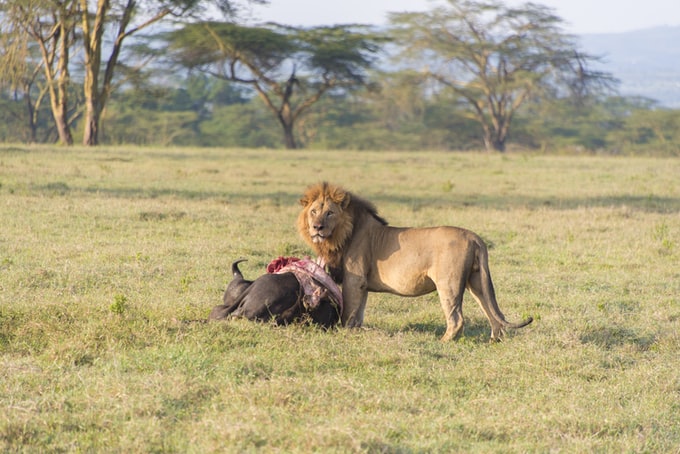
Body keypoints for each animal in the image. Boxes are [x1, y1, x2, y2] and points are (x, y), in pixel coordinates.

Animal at [294, 181, 532, 340]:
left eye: (330, 213)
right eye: (313, 211)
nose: (317, 227)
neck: (342, 234)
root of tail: (474, 236)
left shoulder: (355, 279)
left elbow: (348, 312)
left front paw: (346, 333)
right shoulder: (362, 285)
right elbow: (358, 312)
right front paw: (356, 331)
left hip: (448, 283)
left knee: (457, 319)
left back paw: (443, 342)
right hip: (476, 281)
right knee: (491, 311)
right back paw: (494, 341)